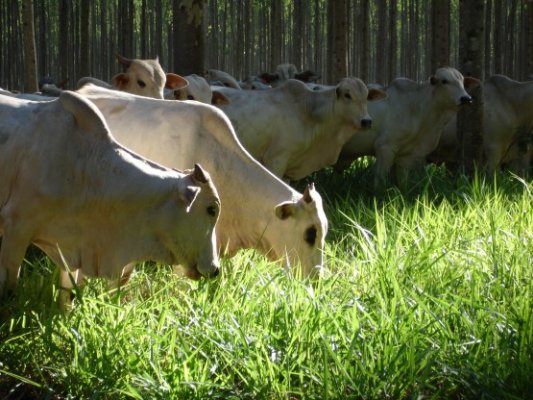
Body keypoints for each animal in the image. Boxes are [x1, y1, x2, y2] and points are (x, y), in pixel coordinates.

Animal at [335, 67, 479, 189]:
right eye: (444, 81)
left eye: (463, 82)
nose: (466, 98)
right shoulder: (385, 147)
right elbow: (380, 179)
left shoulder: (406, 155)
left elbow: (402, 182)